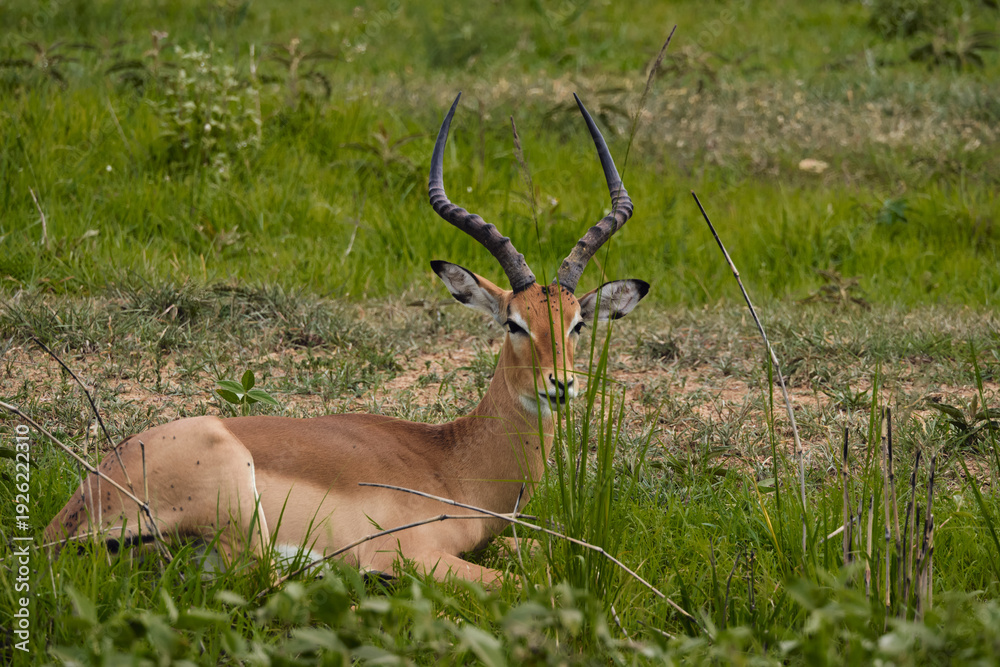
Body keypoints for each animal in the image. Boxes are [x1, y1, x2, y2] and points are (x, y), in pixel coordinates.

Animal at [45, 93, 649, 586]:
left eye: (576, 323)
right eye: (513, 323)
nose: (560, 385)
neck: (454, 467)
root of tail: (69, 520)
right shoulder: (414, 553)